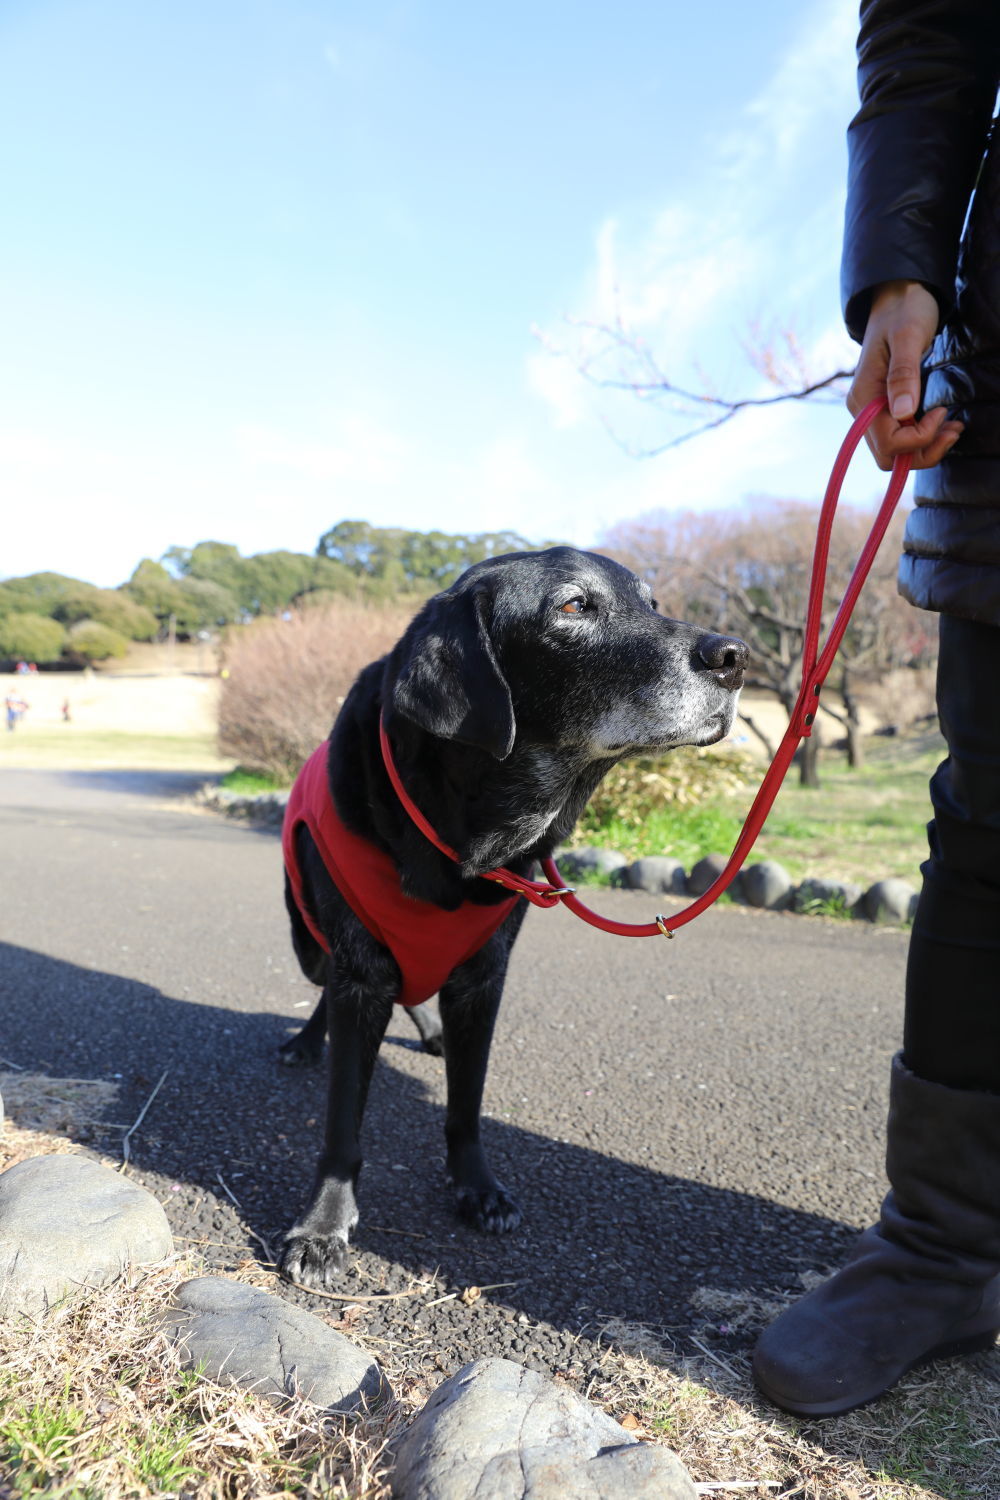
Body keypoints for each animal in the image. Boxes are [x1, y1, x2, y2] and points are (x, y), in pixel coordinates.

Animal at [277, 552, 746, 1290]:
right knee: (324, 982)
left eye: (653, 602)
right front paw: (324, 1226)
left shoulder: (484, 979)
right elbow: (343, 1122)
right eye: (575, 607)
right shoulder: (360, 974)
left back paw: (430, 1033)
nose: (735, 658)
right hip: (308, 936)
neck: (466, 836)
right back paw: (306, 1041)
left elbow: (466, 1104)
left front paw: (477, 1187)